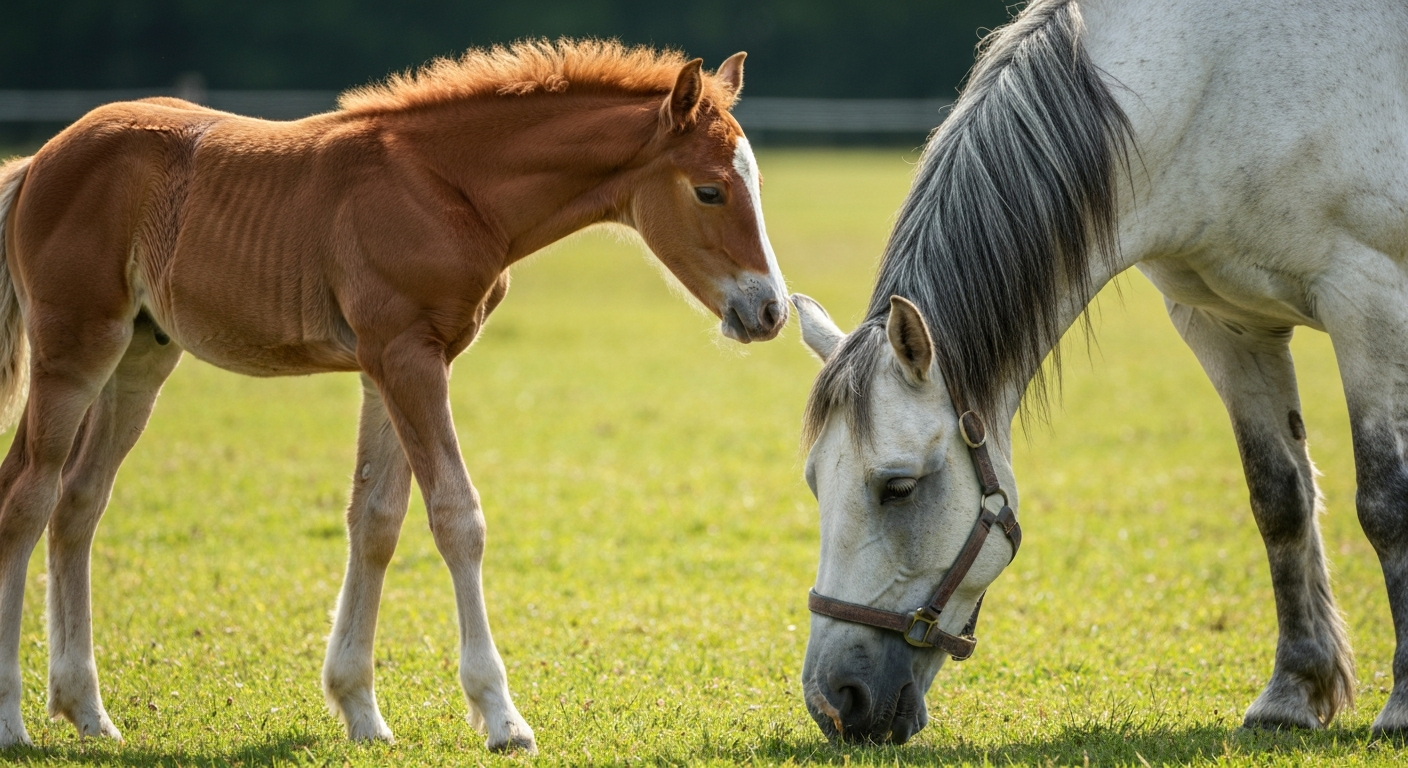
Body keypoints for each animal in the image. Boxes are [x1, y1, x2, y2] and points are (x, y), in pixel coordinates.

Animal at [0, 39, 789, 753]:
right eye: (710, 189)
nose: (771, 310)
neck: (450, 187)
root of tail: (40, 162)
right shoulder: (407, 357)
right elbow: (457, 518)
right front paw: (501, 718)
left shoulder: (391, 363)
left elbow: (376, 519)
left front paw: (360, 711)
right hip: (75, 348)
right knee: (28, 497)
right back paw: (14, 723)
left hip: (140, 354)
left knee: (78, 502)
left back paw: (87, 711)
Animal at [791, 0, 1408, 744]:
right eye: (815, 483)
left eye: (900, 487)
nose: (835, 699)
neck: (1214, 80)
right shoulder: (1225, 324)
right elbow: (1280, 501)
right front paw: (1290, 693)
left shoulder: (1368, 301)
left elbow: (1386, 504)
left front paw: (1403, 706)